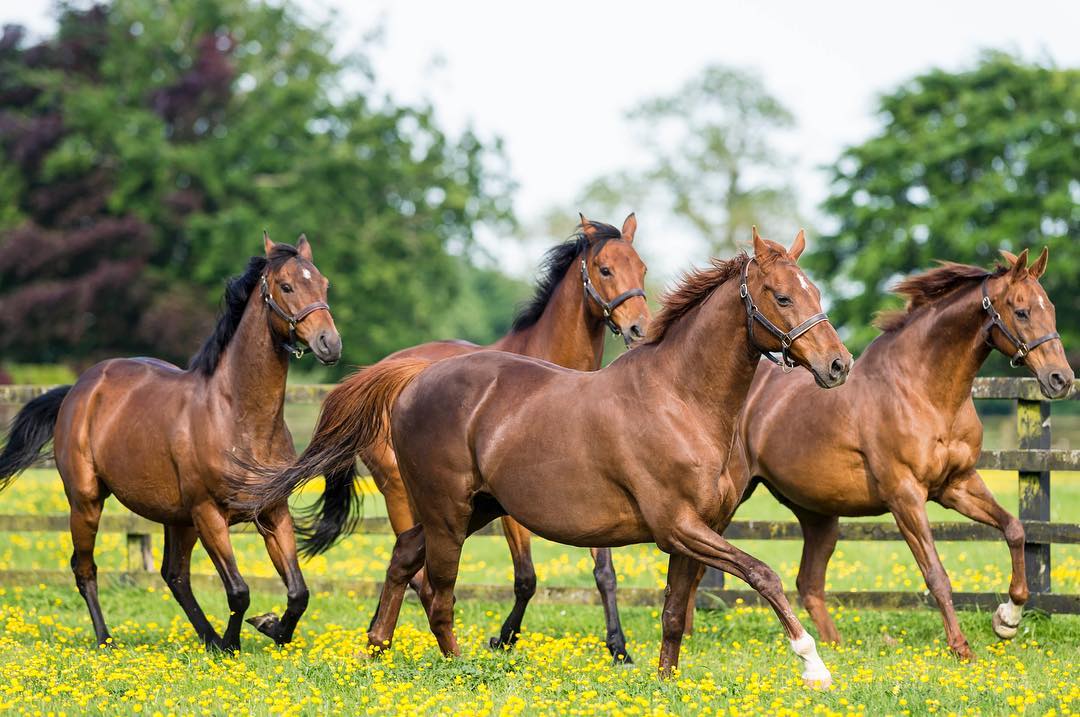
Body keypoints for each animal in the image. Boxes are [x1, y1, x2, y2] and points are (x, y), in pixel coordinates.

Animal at [0, 234, 341, 647]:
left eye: (324, 284)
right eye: (287, 286)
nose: (330, 343)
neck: (239, 418)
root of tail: (78, 390)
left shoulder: (273, 511)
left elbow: (298, 592)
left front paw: (270, 627)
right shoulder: (209, 513)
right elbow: (238, 591)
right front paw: (235, 642)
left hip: (176, 519)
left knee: (174, 575)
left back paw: (208, 639)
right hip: (87, 501)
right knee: (85, 568)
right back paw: (107, 639)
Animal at [234, 212, 648, 660]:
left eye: (642, 267)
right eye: (605, 269)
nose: (639, 328)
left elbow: (604, 571)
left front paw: (618, 648)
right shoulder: (511, 508)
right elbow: (526, 577)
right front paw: (503, 638)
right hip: (400, 491)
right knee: (415, 563)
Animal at [263, 230, 851, 682]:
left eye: (815, 290)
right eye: (781, 297)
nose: (838, 365)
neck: (679, 399)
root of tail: (412, 378)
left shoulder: (698, 530)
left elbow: (673, 614)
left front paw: (665, 680)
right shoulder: (678, 527)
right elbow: (763, 574)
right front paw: (814, 666)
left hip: (475, 508)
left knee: (404, 559)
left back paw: (376, 650)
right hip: (448, 512)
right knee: (440, 596)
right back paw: (458, 668)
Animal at [699, 248, 1071, 660]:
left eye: (1051, 308)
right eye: (1021, 311)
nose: (1061, 379)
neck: (924, 390)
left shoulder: (956, 484)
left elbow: (1015, 528)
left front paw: (1007, 619)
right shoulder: (905, 496)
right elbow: (936, 574)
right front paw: (962, 648)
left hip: (818, 515)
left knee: (808, 582)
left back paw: (838, 648)